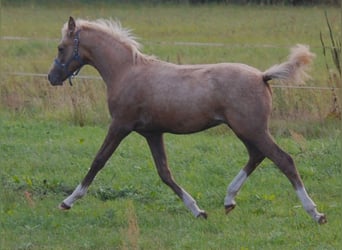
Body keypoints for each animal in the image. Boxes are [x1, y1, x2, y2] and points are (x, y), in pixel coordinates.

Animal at [47, 16, 326, 224]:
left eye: (61, 47)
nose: (52, 77)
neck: (126, 72)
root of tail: (262, 75)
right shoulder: (152, 133)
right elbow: (165, 173)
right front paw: (198, 211)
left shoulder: (120, 126)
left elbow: (98, 162)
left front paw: (67, 202)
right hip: (245, 130)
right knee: (256, 156)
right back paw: (229, 200)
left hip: (252, 129)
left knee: (283, 160)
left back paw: (315, 213)